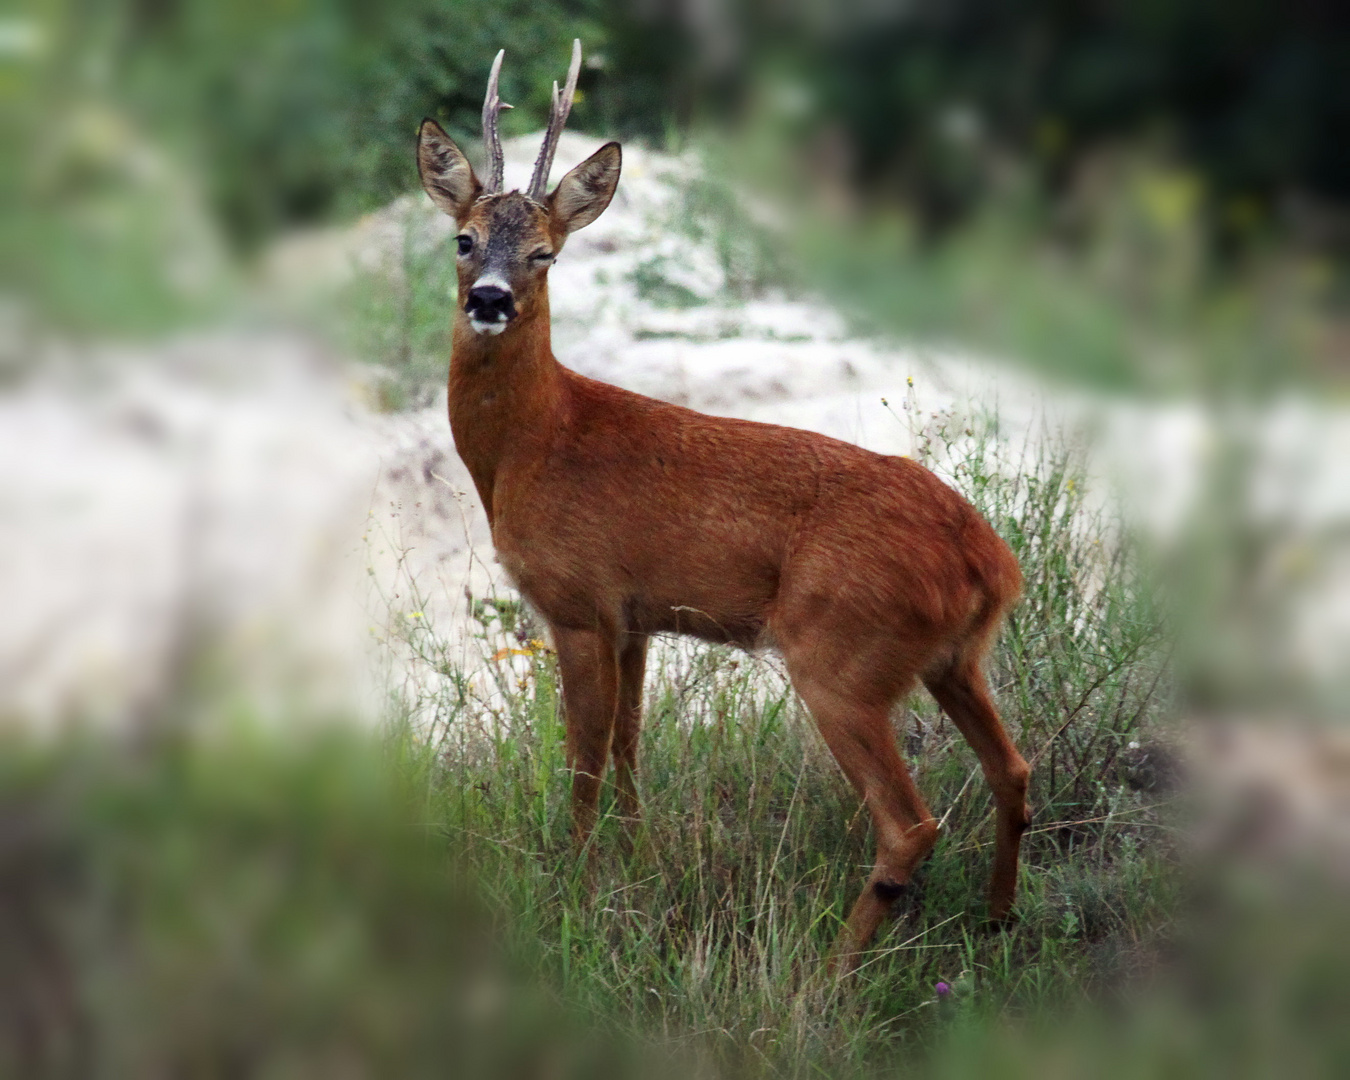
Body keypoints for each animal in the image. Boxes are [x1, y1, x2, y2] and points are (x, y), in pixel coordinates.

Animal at [415, 40, 1026, 972]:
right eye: (464, 238)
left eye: (546, 253)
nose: (489, 299)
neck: (536, 443)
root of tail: (991, 563)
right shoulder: (633, 616)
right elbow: (629, 748)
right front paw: (635, 864)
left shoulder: (577, 602)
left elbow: (583, 763)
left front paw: (574, 891)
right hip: (954, 661)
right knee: (1013, 771)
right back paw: (996, 927)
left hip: (842, 655)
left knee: (910, 823)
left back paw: (828, 975)